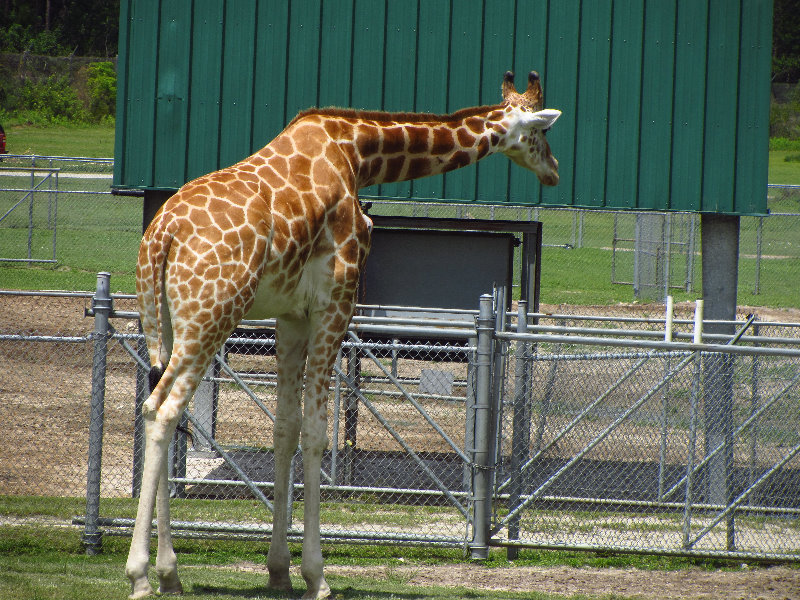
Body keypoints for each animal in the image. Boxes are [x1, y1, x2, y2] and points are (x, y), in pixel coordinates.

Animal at [126, 69, 564, 596]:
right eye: (541, 132)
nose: (553, 170)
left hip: (166, 321)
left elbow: (285, 428)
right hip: (211, 316)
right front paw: (316, 575)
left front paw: (278, 570)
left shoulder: (291, 315)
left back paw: (169, 572)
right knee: (164, 409)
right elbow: (316, 432)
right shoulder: (336, 302)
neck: (357, 154)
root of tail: (161, 237)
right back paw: (141, 575)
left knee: (156, 408)